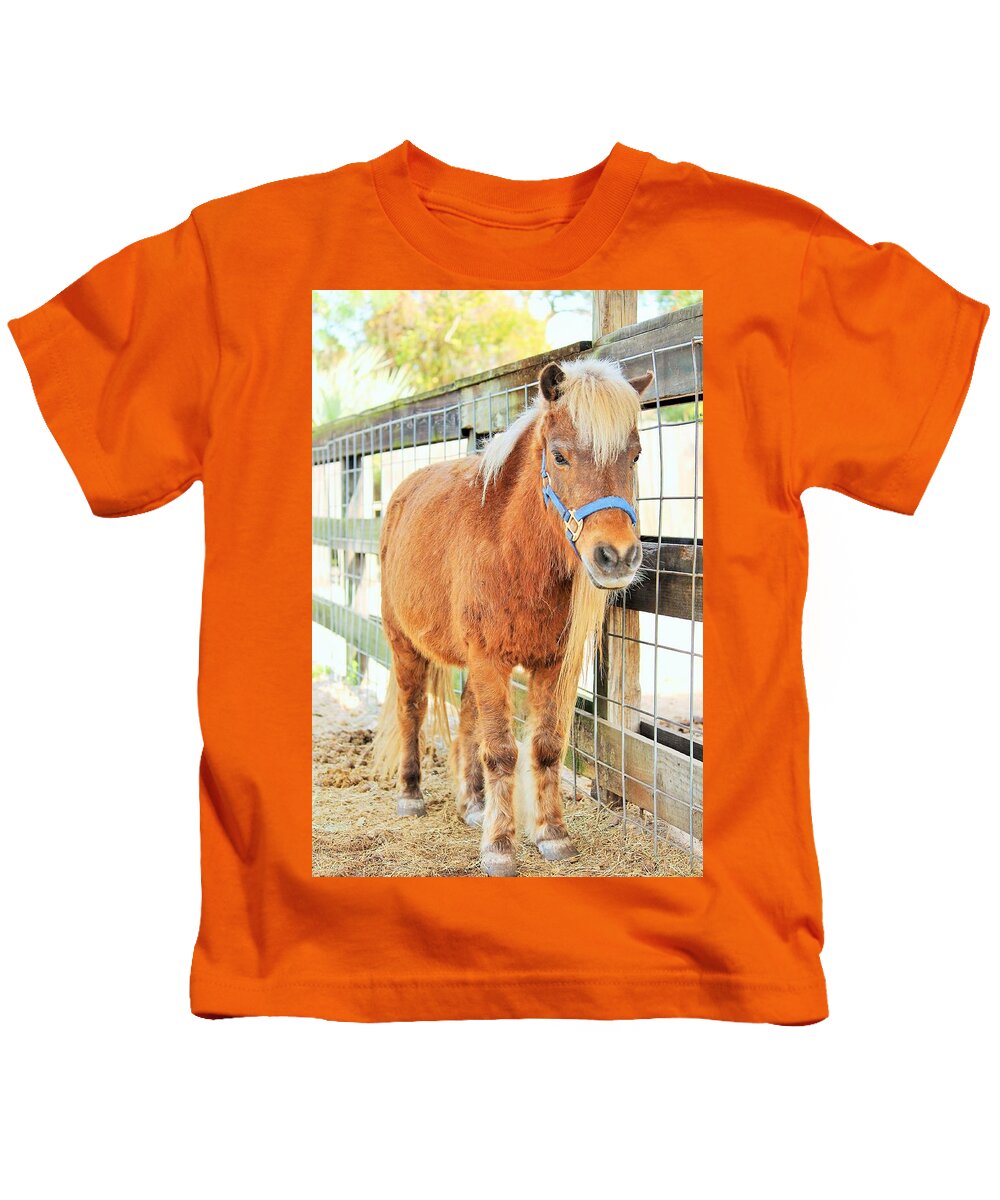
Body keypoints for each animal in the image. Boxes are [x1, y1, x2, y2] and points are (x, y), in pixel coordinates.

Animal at [372, 357, 652, 876]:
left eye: (636, 456)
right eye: (559, 457)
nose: (617, 556)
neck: (513, 551)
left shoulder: (551, 665)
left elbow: (544, 747)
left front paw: (552, 834)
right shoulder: (490, 659)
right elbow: (502, 751)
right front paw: (500, 847)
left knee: (466, 719)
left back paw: (472, 804)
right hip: (404, 643)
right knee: (411, 710)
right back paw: (411, 794)